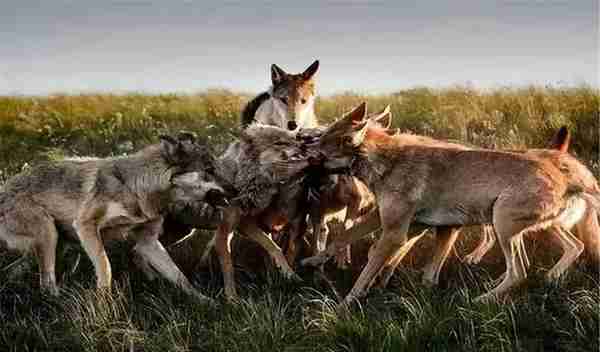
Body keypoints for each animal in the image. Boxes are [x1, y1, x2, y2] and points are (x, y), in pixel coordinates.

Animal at [0, 132, 227, 302]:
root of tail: (4, 188)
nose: (234, 191)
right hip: (49, 235)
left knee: (21, 273)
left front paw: (206, 301)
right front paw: (104, 302)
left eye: (216, 168)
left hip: (55, 244)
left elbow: (179, 276)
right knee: (46, 283)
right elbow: (105, 267)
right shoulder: (85, 225)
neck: (136, 187)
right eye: (209, 170)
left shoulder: (148, 242)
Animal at [308, 102, 596, 302]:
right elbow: (342, 239)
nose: (305, 142)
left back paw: (482, 300)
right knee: (573, 248)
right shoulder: (399, 222)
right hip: (534, 228)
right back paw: (546, 278)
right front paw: (313, 261)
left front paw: (346, 304)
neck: (386, 160)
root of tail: (564, 173)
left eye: (322, 142)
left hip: (502, 225)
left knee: (520, 271)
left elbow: (365, 273)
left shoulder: (395, 233)